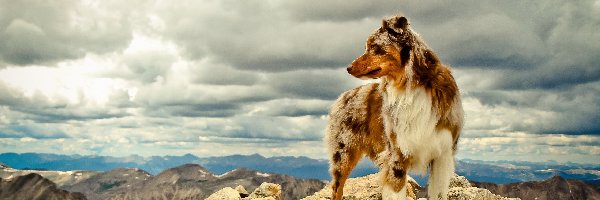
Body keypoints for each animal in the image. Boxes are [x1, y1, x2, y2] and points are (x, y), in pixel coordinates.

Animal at [326, 16, 462, 200]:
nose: (348, 68)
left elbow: (438, 194)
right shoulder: (397, 154)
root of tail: (343, 96)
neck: (410, 86)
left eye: (374, 46)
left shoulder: (442, 155)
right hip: (343, 154)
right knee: (337, 189)